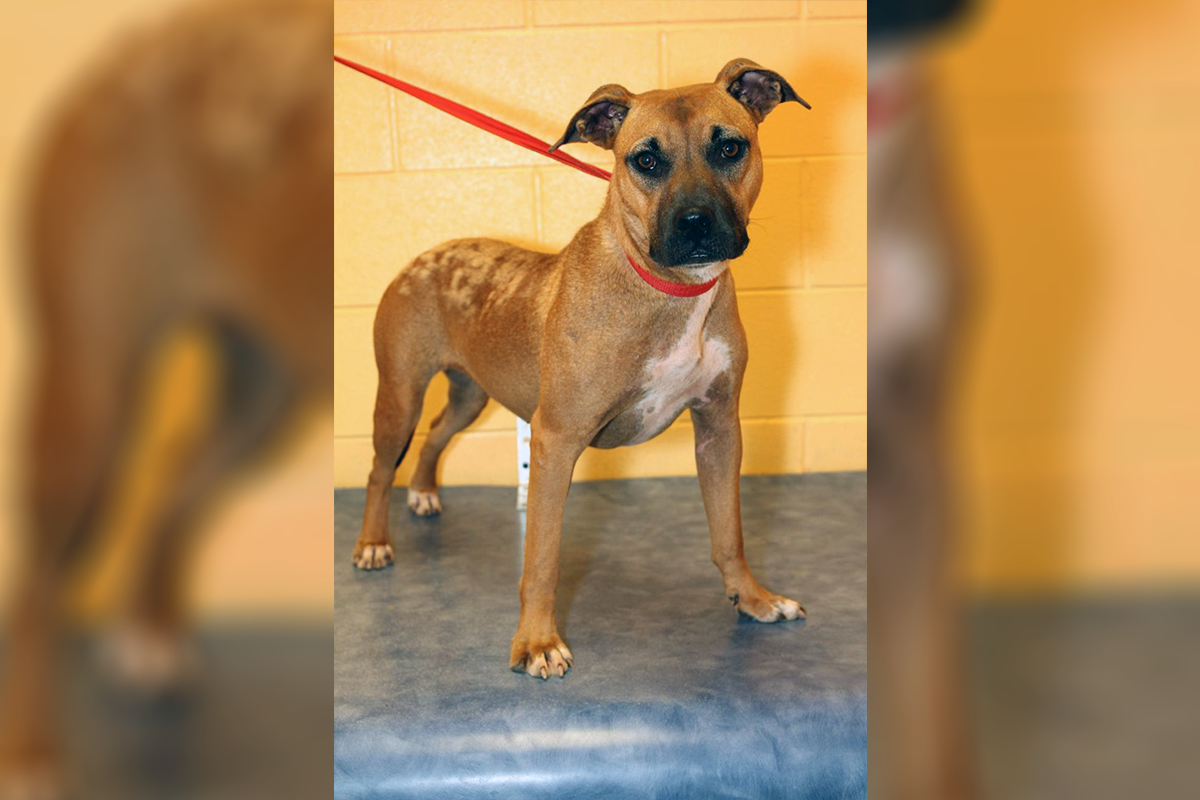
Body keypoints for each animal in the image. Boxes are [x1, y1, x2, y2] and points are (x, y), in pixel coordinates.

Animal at [352, 59, 809, 680]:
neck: (667, 290)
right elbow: (542, 558)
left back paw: (423, 493)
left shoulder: (719, 430)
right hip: (399, 396)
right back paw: (374, 543)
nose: (694, 223)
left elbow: (729, 534)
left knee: (435, 437)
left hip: (473, 395)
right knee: (380, 469)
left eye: (730, 147)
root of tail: (424, 257)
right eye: (645, 160)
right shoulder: (556, 439)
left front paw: (754, 598)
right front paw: (537, 643)